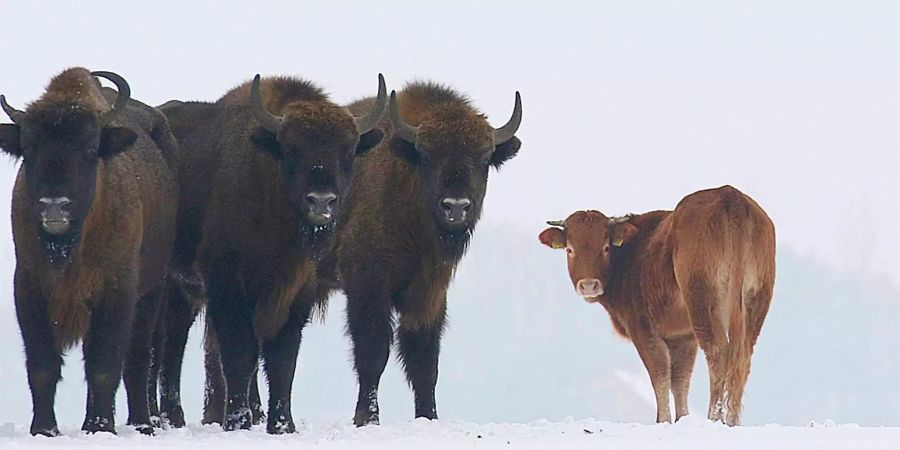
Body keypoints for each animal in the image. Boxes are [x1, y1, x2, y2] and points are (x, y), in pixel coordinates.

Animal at [0, 68, 178, 434]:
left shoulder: (117, 291)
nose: (54, 206)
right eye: (28, 147)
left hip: (152, 291)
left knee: (139, 359)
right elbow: (42, 365)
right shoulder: (28, 286)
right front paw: (44, 429)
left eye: (90, 148)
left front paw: (101, 427)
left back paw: (141, 423)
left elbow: (105, 366)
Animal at [156, 74, 386, 432]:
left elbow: (282, 361)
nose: (321, 201)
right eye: (292, 149)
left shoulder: (297, 294)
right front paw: (238, 422)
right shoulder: (228, 286)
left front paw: (282, 425)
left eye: (348, 151)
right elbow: (239, 355)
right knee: (161, 347)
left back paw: (174, 418)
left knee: (173, 344)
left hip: (184, 291)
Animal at [332, 81, 524, 426]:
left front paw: (428, 417)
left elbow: (424, 362)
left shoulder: (429, 293)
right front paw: (367, 418)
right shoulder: (367, 286)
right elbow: (373, 352)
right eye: (427, 156)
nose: (456, 207)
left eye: (483, 157)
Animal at [536, 185, 776, 426]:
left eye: (605, 248)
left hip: (703, 301)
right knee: (743, 357)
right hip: (756, 302)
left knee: (717, 352)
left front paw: (663, 420)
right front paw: (682, 418)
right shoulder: (683, 337)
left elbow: (659, 372)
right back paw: (733, 421)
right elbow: (679, 379)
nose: (588, 285)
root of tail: (730, 196)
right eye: (569, 249)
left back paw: (714, 418)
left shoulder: (643, 328)